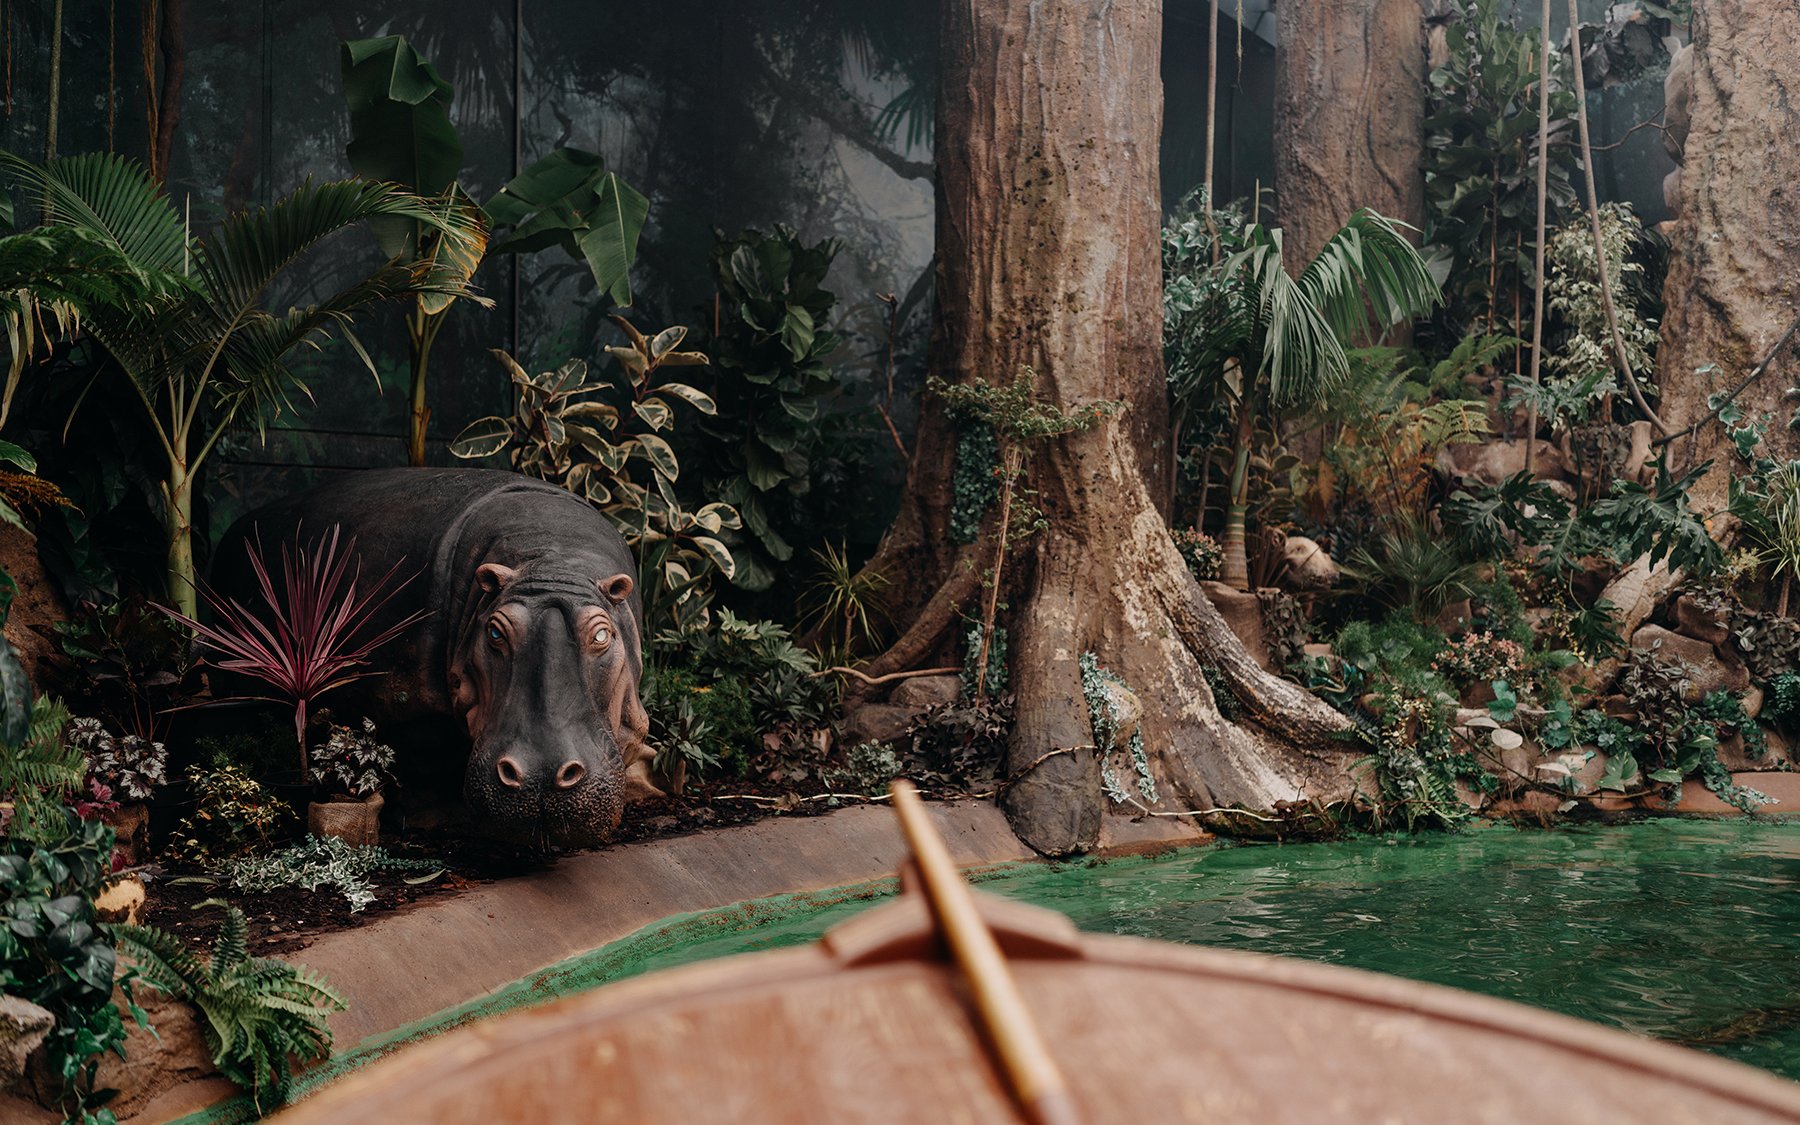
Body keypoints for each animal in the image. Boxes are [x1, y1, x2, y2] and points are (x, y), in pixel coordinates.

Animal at [209, 468, 655, 849]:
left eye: (602, 634)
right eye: (495, 631)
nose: (539, 777)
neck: (551, 553)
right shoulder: (408, 695)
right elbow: (425, 749)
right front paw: (436, 820)